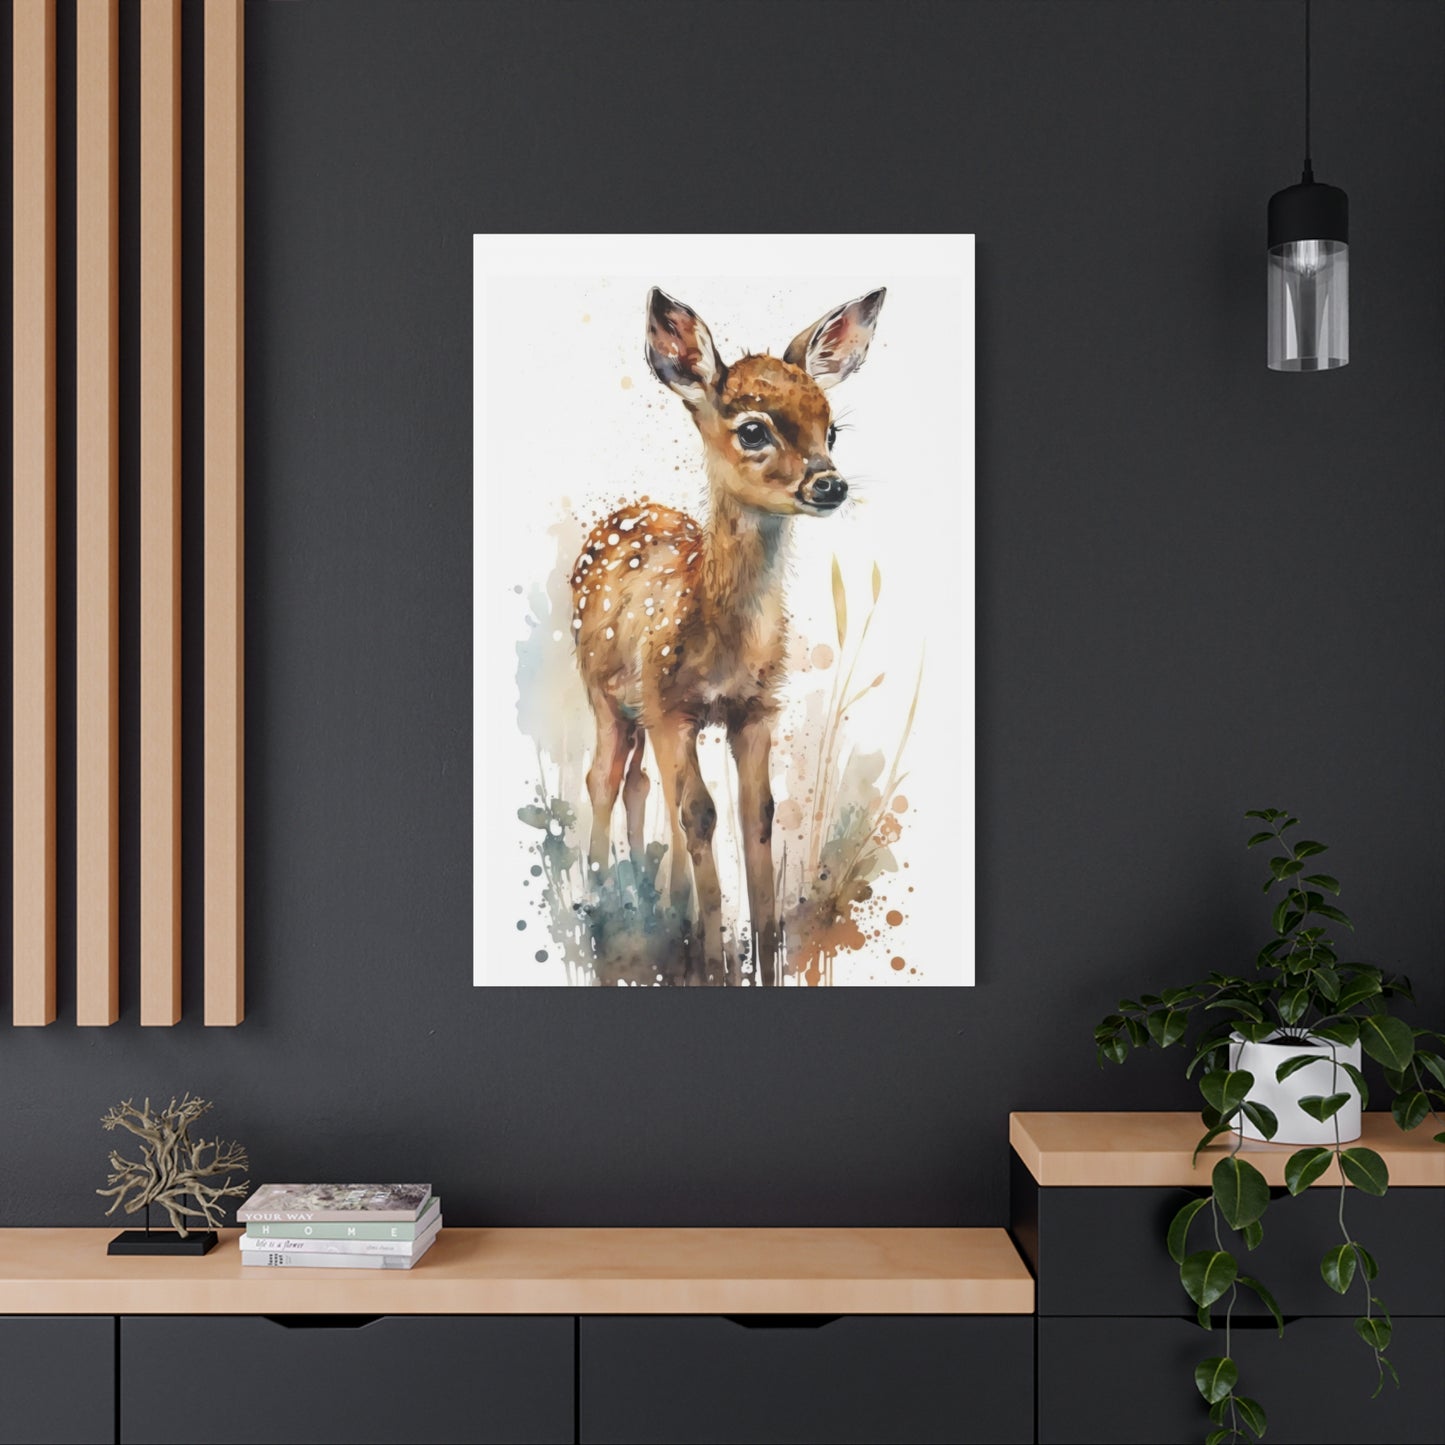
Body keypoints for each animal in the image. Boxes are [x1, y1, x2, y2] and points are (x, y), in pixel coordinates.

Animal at [570, 285, 885, 985]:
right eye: (753, 429)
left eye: (831, 428)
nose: (830, 483)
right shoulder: (672, 705)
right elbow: (701, 814)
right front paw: (715, 963)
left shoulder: (756, 708)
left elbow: (754, 814)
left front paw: (765, 959)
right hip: (605, 693)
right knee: (603, 779)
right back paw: (604, 902)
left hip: (643, 712)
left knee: (640, 785)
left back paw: (661, 902)